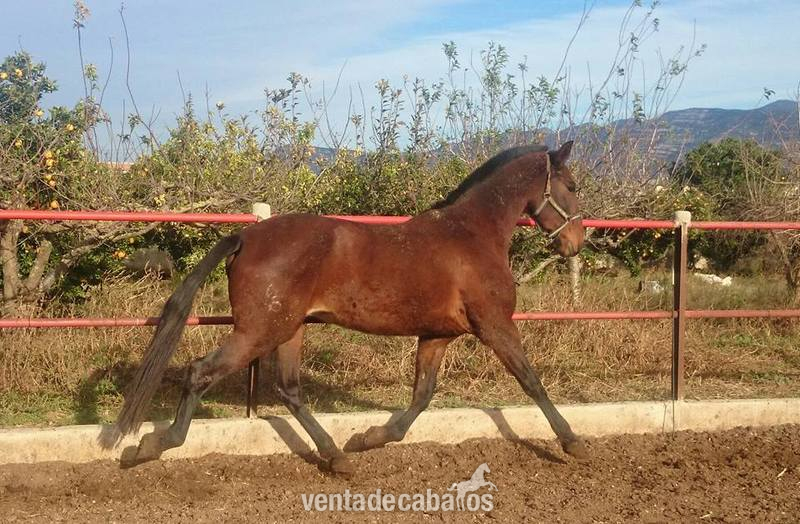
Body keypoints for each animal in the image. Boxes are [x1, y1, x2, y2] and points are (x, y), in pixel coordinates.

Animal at [110, 141, 587, 474]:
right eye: (572, 185)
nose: (575, 243)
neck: (472, 235)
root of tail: (246, 236)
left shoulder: (437, 334)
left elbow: (421, 396)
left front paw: (369, 437)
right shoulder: (495, 325)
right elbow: (532, 381)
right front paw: (572, 442)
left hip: (289, 329)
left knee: (289, 390)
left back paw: (337, 456)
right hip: (259, 331)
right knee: (200, 372)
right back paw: (149, 446)